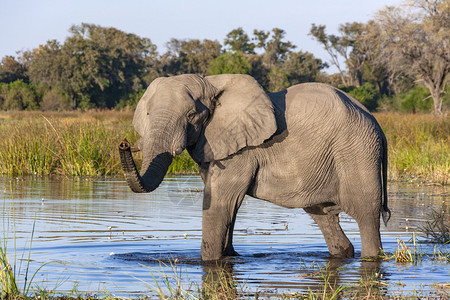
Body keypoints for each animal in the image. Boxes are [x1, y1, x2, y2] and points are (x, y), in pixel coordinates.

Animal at [119, 74, 390, 262]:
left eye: (191, 115)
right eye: (147, 113)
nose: (123, 144)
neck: (210, 83)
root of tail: (377, 124)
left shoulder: (241, 150)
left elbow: (221, 202)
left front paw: (208, 261)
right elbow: (228, 207)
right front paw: (229, 256)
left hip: (357, 152)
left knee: (366, 214)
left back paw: (372, 257)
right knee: (322, 215)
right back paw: (343, 252)